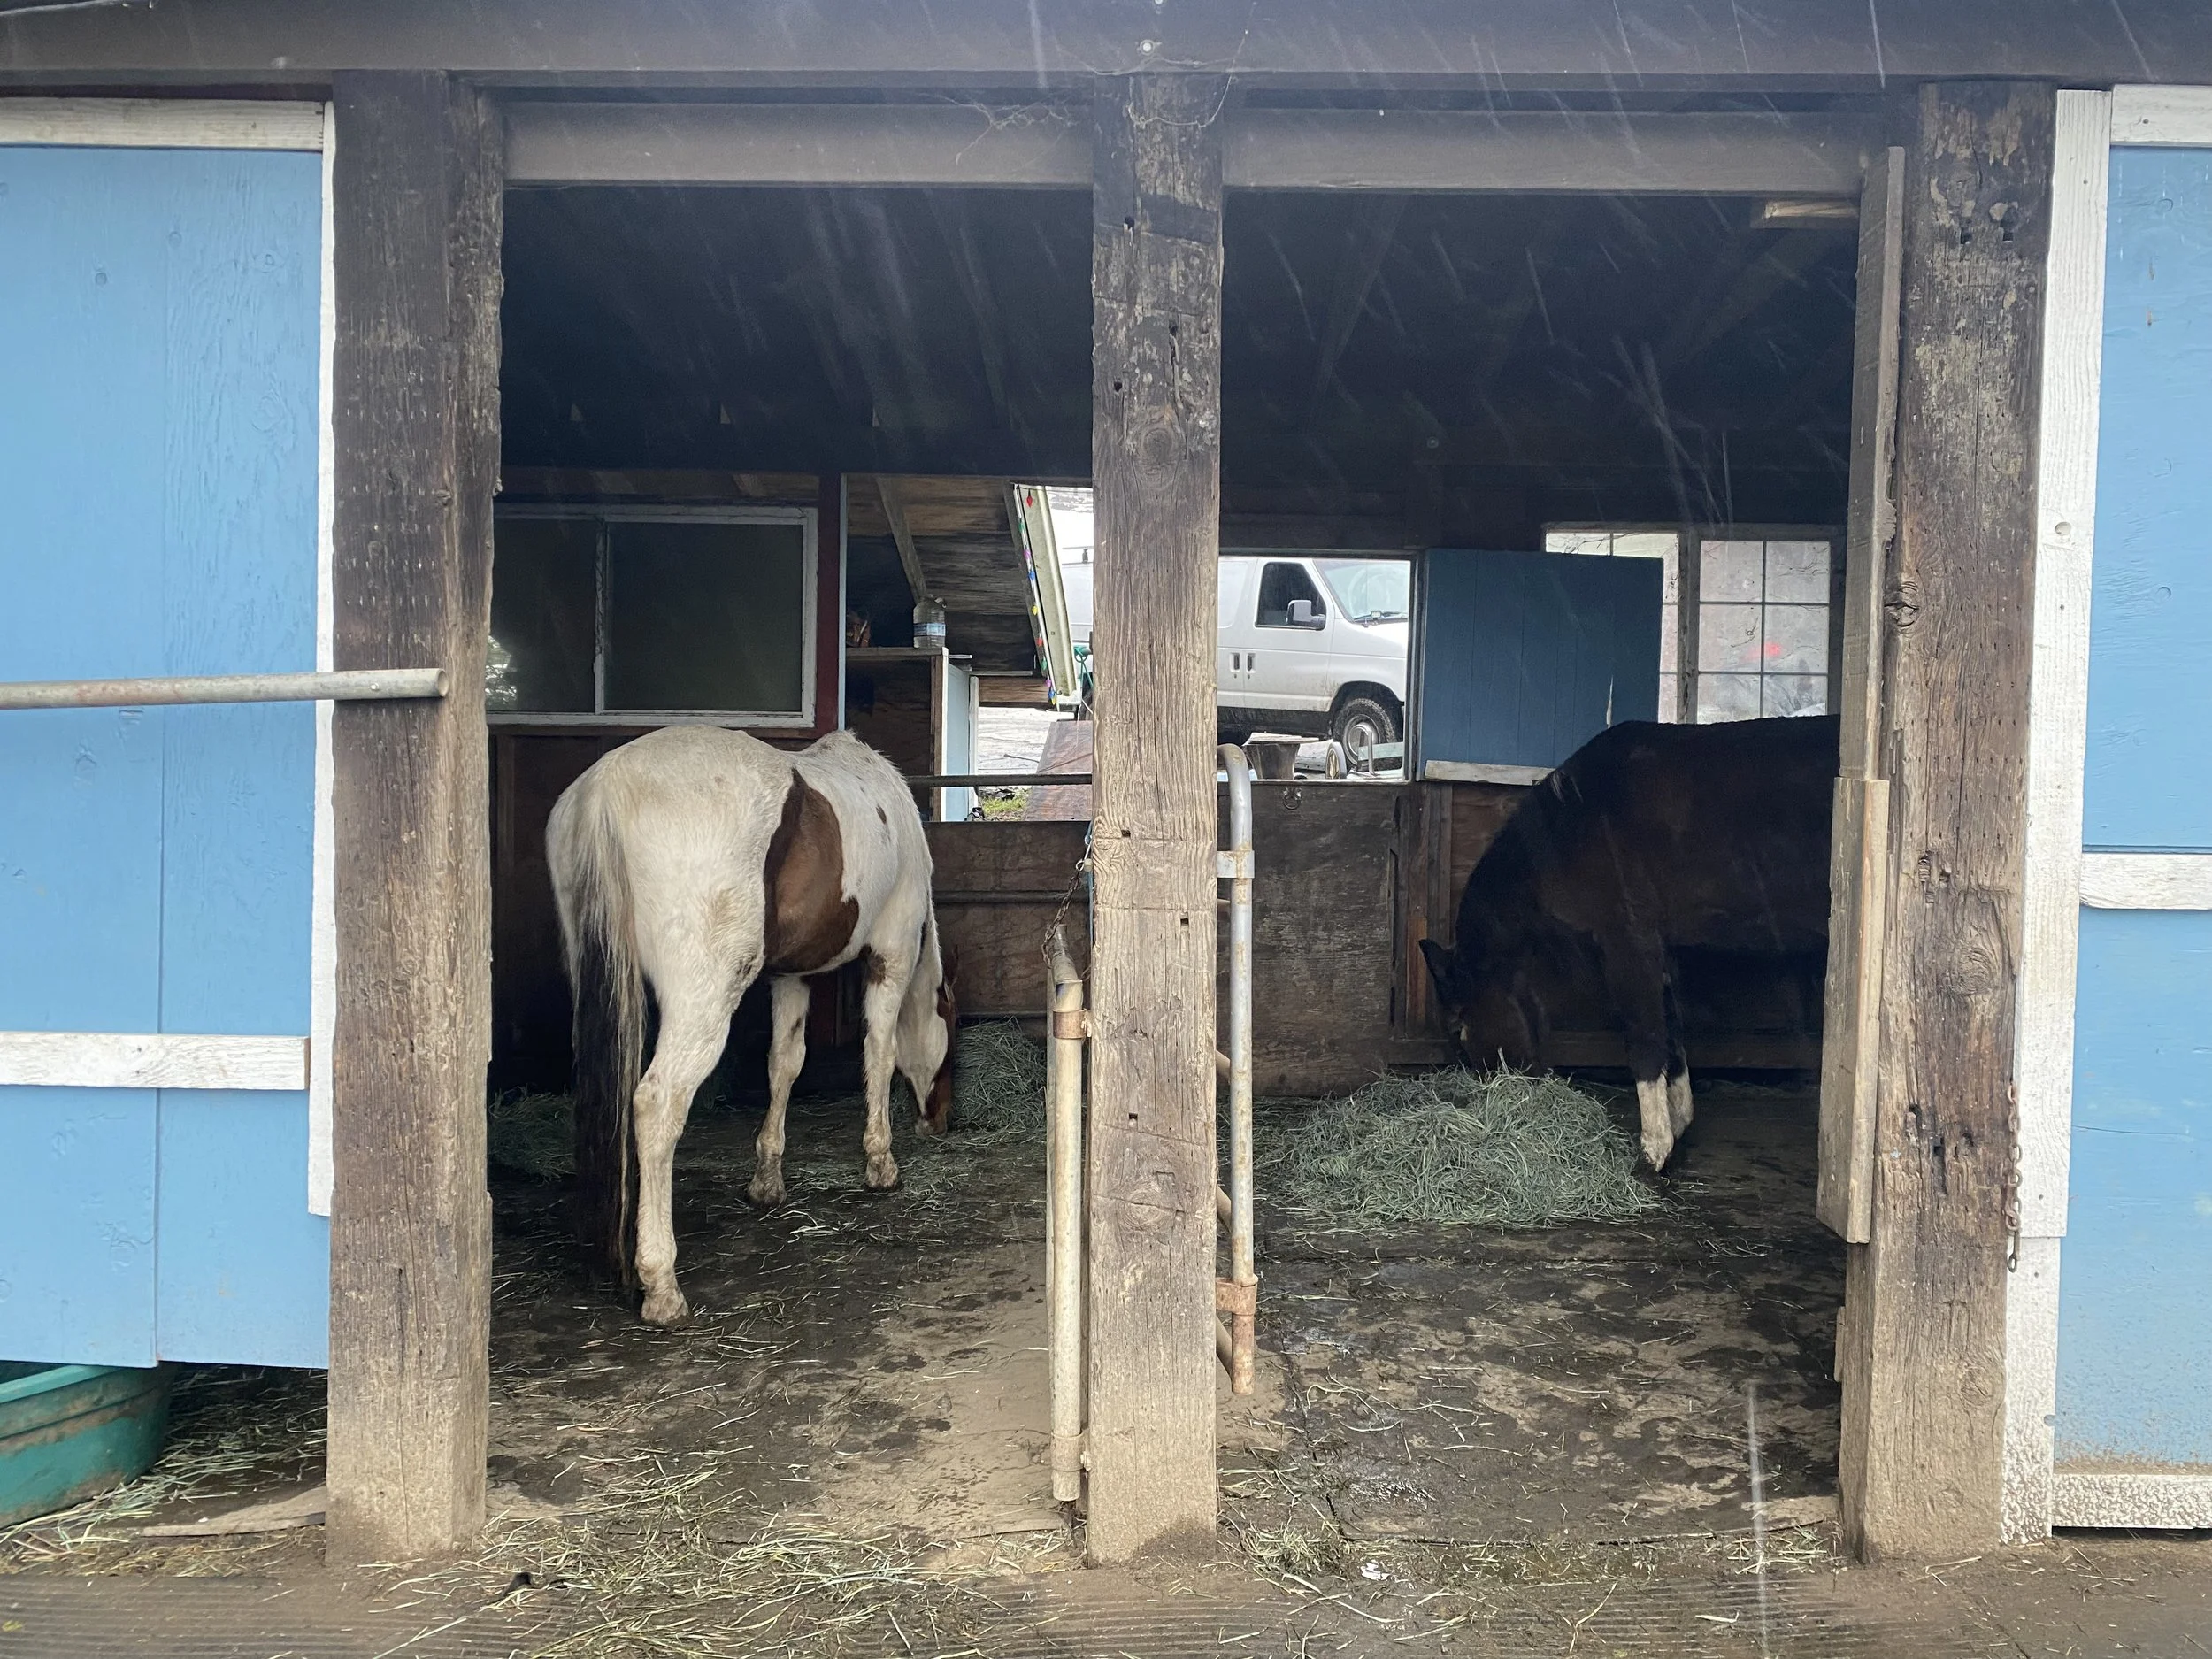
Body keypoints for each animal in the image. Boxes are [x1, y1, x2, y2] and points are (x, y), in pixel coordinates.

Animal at [548, 725, 957, 1325]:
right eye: (952, 1032)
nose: (941, 1120)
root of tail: (608, 788)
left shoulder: (791, 977)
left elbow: (784, 1065)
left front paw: (767, 1180)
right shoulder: (892, 954)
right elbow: (879, 1053)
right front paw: (880, 1164)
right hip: (704, 1002)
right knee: (656, 1106)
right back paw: (661, 1285)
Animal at [1418, 713, 1836, 1171]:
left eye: (1458, 1026)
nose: (1489, 1085)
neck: (1576, 824)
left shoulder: (1629, 946)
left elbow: (1644, 1039)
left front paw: (1653, 1152)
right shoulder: (1661, 952)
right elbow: (1671, 1036)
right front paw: (1678, 1125)